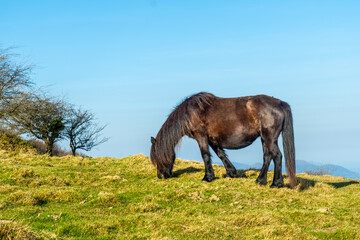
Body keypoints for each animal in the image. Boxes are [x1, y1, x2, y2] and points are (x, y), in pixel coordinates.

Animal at [150, 92, 296, 188]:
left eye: (158, 157)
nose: (161, 176)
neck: (191, 113)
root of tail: (280, 103)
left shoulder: (201, 136)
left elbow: (205, 156)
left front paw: (207, 178)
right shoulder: (212, 139)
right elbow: (220, 154)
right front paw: (230, 173)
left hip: (269, 137)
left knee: (277, 156)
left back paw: (276, 183)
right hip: (264, 138)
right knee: (267, 156)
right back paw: (260, 180)